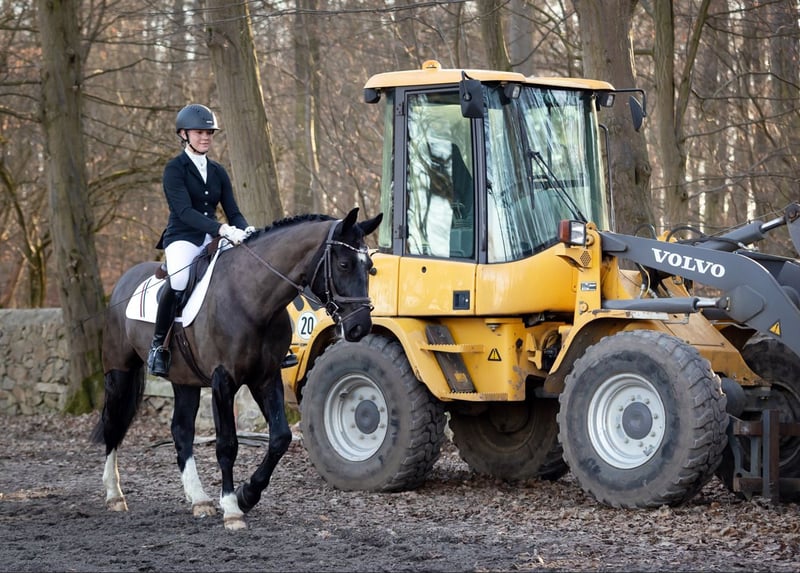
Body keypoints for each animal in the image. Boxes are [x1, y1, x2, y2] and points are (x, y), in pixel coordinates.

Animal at [91, 207, 383, 530]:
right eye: (343, 264)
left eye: (370, 267)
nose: (360, 327)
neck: (251, 299)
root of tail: (124, 280)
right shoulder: (223, 381)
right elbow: (227, 444)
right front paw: (232, 508)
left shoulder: (266, 378)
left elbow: (280, 437)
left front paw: (247, 495)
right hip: (119, 371)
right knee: (113, 424)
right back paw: (114, 495)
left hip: (184, 379)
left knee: (181, 430)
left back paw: (199, 499)